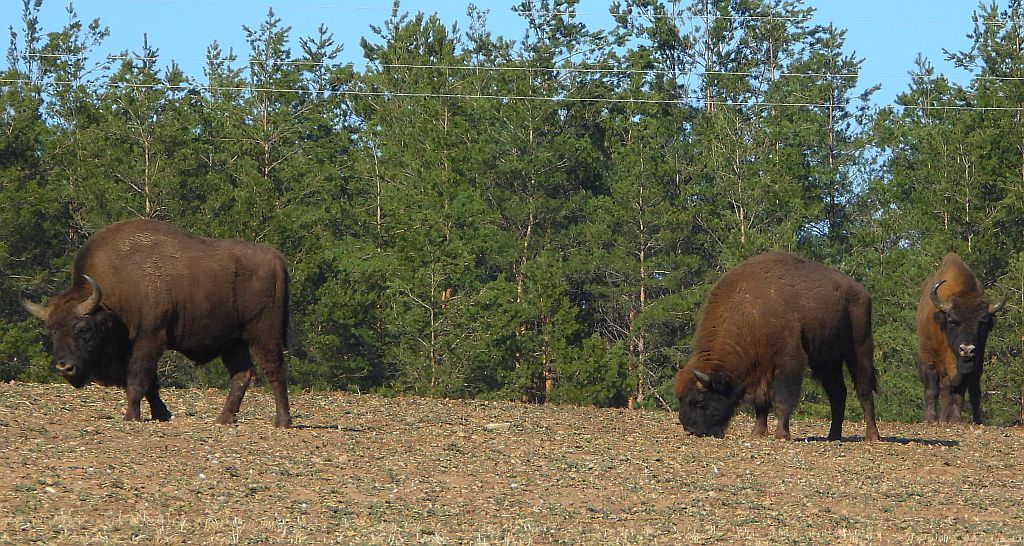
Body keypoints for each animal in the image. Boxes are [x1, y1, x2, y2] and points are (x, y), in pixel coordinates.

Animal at [23, 218, 293, 427]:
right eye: (51, 331)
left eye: (84, 328)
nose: (64, 367)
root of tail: (276, 258)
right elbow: (150, 384)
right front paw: (162, 414)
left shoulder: (149, 339)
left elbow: (137, 380)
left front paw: (131, 416)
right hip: (233, 341)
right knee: (242, 373)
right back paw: (223, 419)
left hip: (263, 334)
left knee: (275, 369)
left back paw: (282, 421)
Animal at [674, 251, 880, 441]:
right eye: (681, 398)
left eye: (699, 401)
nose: (690, 429)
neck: (751, 312)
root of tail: (862, 292)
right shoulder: (760, 370)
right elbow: (762, 402)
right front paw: (757, 433)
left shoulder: (788, 363)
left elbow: (782, 399)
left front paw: (781, 434)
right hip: (828, 361)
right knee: (838, 393)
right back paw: (833, 436)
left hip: (860, 348)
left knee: (863, 390)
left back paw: (872, 436)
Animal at [916, 253, 1005, 424]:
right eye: (952, 321)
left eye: (983, 323)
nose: (967, 349)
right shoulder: (928, 361)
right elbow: (932, 390)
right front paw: (930, 419)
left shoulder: (968, 366)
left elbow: (959, 394)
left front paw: (955, 420)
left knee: (969, 392)